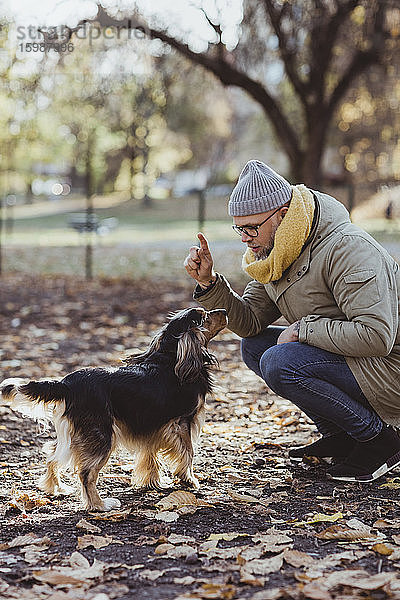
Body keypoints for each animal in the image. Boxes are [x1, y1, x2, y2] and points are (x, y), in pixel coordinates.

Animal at [0, 310, 228, 510]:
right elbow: (188, 452)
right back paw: (99, 505)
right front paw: (188, 480)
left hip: (74, 435)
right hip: (101, 436)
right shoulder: (181, 422)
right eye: (205, 316)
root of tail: (66, 383)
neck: (171, 358)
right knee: (86, 473)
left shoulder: (151, 423)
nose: (225, 310)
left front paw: (152, 482)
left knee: (51, 455)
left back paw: (55, 488)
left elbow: (149, 455)